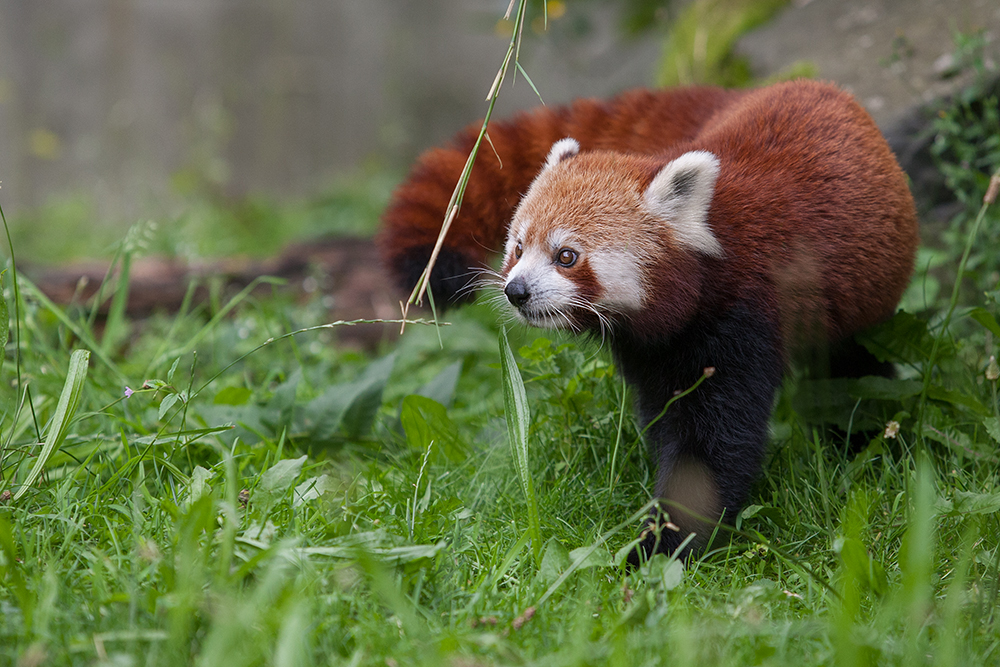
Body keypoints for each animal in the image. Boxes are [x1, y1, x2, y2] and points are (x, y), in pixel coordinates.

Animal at [378, 82, 916, 564]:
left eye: (566, 256)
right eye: (517, 248)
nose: (516, 291)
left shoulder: (742, 318)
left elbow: (711, 445)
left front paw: (666, 546)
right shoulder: (653, 352)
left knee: (851, 369)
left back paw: (864, 440)